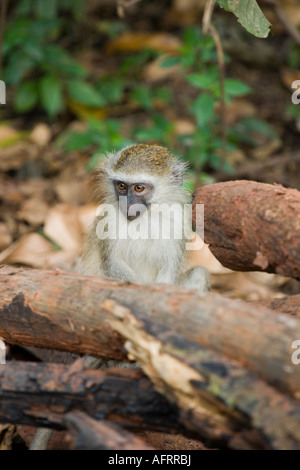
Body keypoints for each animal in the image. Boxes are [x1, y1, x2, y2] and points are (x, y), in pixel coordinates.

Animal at [79, 143, 211, 292]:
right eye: (121, 186)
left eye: (139, 188)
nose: (127, 203)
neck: (146, 216)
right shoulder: (110, 220)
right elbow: (114, 264)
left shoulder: (178, 219)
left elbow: (169, 267)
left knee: (200, 274)